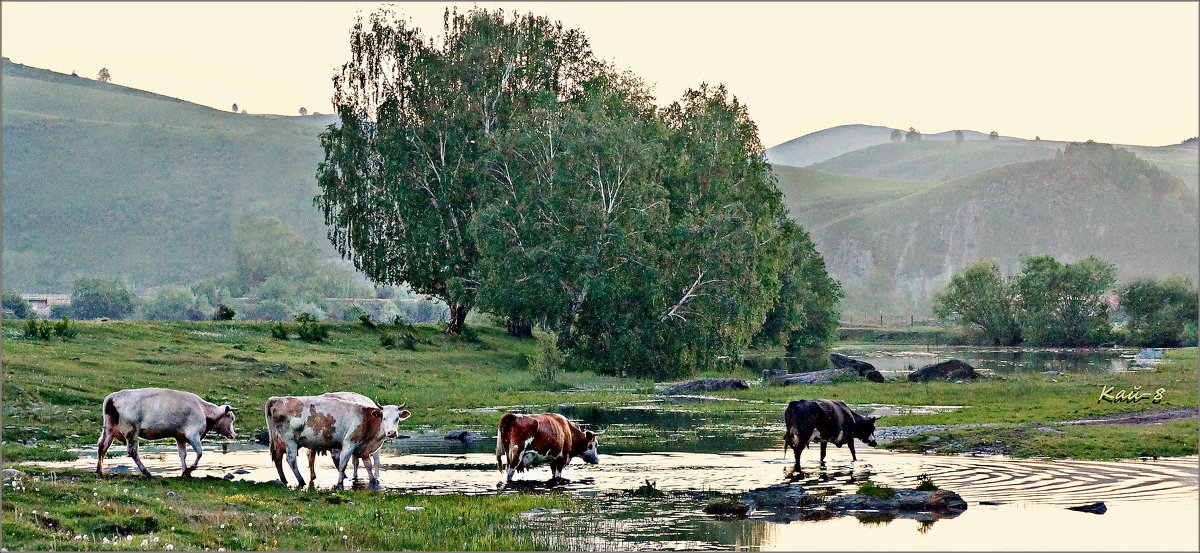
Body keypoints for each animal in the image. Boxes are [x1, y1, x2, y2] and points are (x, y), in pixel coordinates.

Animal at [94, 386, 235, 477]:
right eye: (231, 418)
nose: (234, 434)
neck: (204, 410)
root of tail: (112, 397)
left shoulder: (180, 437)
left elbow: (182, 454)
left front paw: (184, 471)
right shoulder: (193, 434)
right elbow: (199, 453)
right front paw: (190, 469)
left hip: (110, 430)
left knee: (102, 446)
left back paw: (99, 471)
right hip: (131, 432)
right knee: (133, 451)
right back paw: (146, 472)